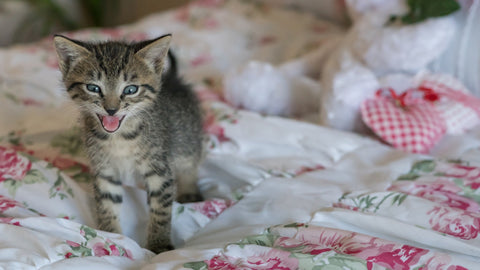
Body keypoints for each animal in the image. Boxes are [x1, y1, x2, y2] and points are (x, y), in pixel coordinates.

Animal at [53, 34, 203, 253]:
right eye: (93, 88)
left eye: (131, 89)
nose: (111, 110)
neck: (120, 137)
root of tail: (173, 79)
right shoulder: (105, 170)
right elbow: (106, 205)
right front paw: (111, 236)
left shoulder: (159, 169)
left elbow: (161, 209)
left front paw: (159, 245)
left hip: (188, 139)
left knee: (190, 164)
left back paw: (190, 192)